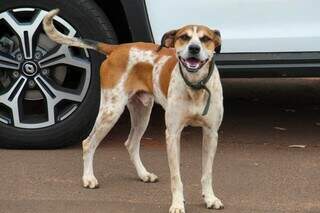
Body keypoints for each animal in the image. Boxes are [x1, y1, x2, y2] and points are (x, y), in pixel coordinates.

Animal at [42, 8, 224, 213]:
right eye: (184, 37)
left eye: (205, 39)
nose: (194, 48)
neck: (195, 86)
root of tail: (116, 48)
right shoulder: (173, 134)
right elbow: (176, 177)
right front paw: (177, 204)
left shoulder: (211, 133)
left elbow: (207, 173)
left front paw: (210, 198)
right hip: (110, 111)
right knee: (88, 143)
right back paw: (88, 178)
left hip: (142, 113)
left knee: (130, 143)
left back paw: (144, 174)